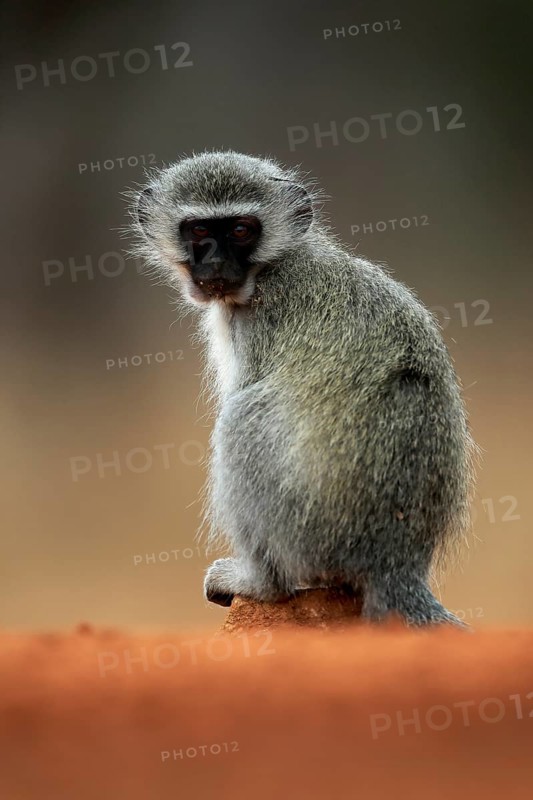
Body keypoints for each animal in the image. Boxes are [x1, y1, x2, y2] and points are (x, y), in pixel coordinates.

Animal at [130, 150, 479, 627]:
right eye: (199, 230)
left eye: (241, 230)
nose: (216, 264)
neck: (272, 266)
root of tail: (396, 561)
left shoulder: (258, 321)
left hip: (309, 536)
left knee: (242, 418)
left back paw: (262, 583)